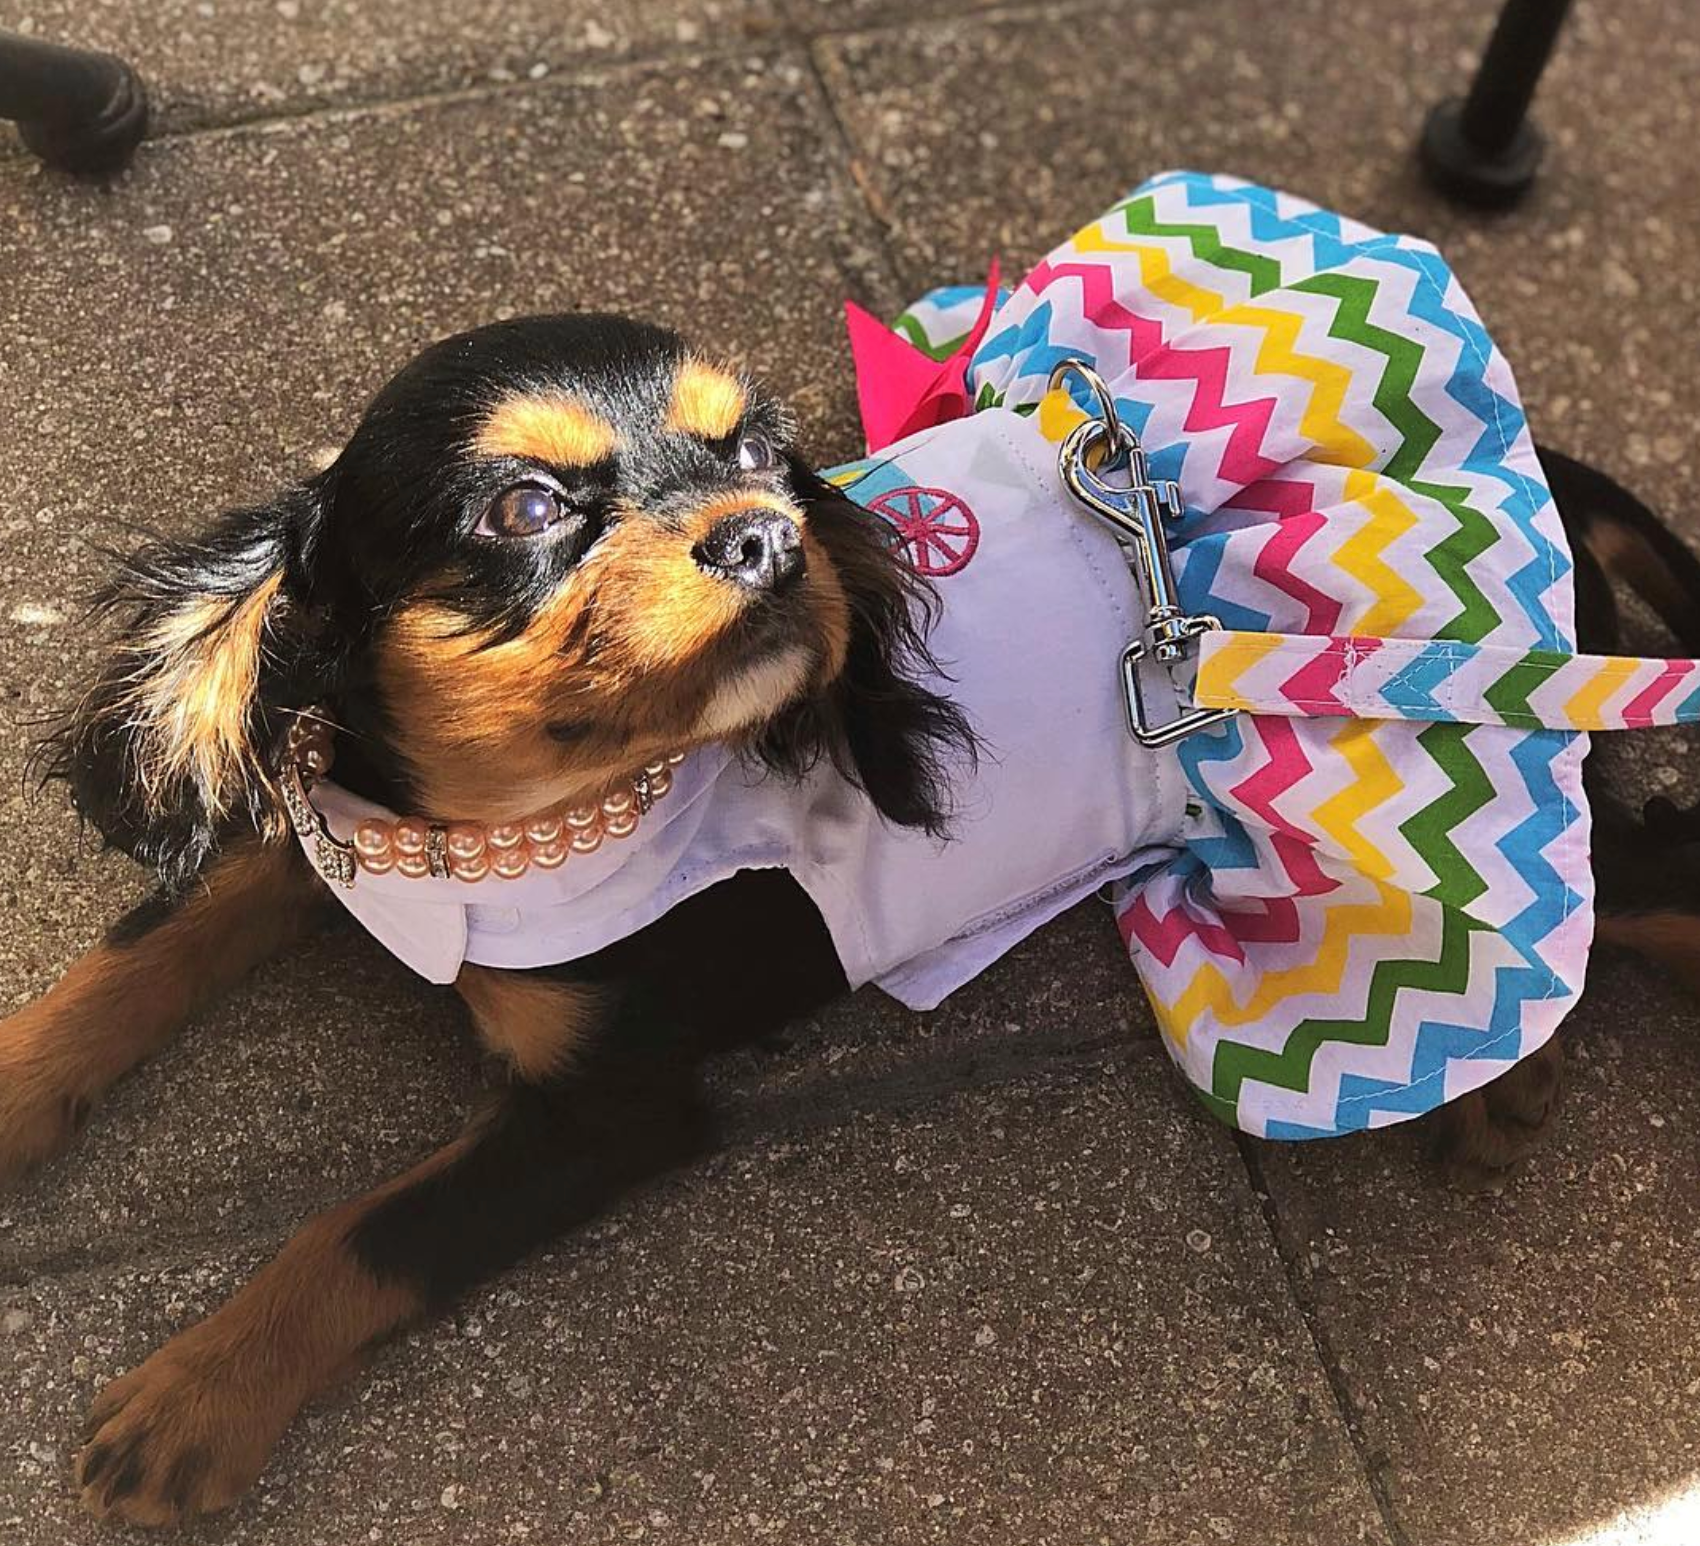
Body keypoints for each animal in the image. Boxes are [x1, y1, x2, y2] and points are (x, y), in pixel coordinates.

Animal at [0, 312, 1693, 1517]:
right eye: (528, 505)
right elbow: (159, 937)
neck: (491, 839)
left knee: (1620, 864)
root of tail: (1547, 461)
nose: (768, 532)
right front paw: (21, 1079)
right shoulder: (334, 838)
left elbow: (371, 1228)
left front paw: (191, 1397)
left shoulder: (606, 1108)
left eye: (759, 447)